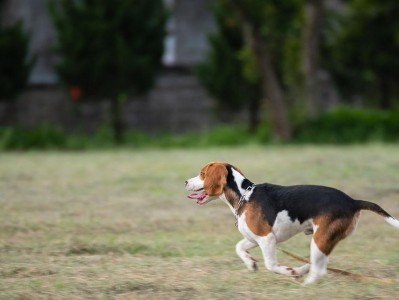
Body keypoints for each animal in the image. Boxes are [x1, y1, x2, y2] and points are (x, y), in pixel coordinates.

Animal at [187, 162, 399, 284]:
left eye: (202, 173)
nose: (185, 182)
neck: (244, 195)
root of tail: (352, 201)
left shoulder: (266, 239)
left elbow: (271, 265)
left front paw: (287, 272)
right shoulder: (254, 238)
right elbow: (239, 247)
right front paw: (250, 263)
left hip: (320, 238)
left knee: (319, 269)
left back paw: (304, 282)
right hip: (325, 239)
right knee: (318, 263)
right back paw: (302, 270)